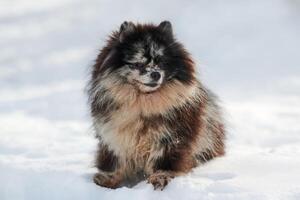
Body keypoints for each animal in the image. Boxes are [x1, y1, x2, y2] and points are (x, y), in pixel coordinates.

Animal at [88, 20, 224, 191]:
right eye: (139, 63)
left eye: (162, 62)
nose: (155, 74)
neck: (143, 104)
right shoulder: (115, 137)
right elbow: (115, 161)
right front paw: (107, 179)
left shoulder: (170, 138)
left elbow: (164, 163)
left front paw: (161, 178)